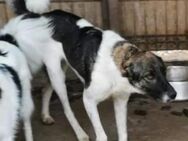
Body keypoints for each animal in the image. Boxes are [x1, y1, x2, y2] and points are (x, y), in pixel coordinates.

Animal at [1, 0, 176, 141]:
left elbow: (123, 133)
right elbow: (102, 135)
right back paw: (80, 133)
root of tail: (41, 16)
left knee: (45, 89)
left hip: (59, 69)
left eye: (164, 71)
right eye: (149, 76)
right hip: (56, 75)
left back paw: (46, 116)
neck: (117, 66)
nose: (174, 95)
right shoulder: (89, 100)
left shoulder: (120, 100)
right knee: (66, 109)